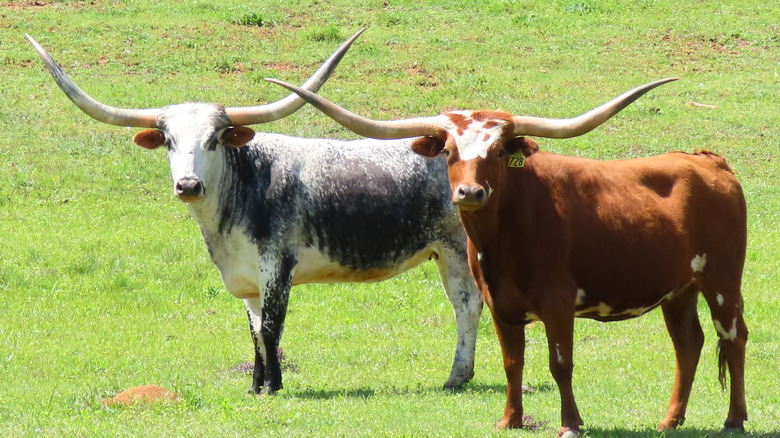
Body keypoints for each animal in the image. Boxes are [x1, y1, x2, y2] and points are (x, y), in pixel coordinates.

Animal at [27, 32, 483, 396]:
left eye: (214, 140)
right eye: (169, 141)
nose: (188, 185)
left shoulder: (277, 268)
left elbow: (271, 329)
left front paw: (274, 387)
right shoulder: (247, 281)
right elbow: (254, 334)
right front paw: (255, 385)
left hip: (459, 249)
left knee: (468, 305)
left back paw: (456, 377)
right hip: (443, 254)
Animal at [268, 77, 748, 436]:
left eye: (498, 151)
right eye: (448, 151)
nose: (469, 192)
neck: (505, 235)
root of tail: (709, 161)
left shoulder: (558, 302)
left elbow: (560, 364)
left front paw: (570, 424)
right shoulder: (500, 303)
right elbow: (512, 361)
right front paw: (510, 420)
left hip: (723, 281)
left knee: (733, 338)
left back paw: (734, 420)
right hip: (679, 289)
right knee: (688, 344)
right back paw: (670, 420)